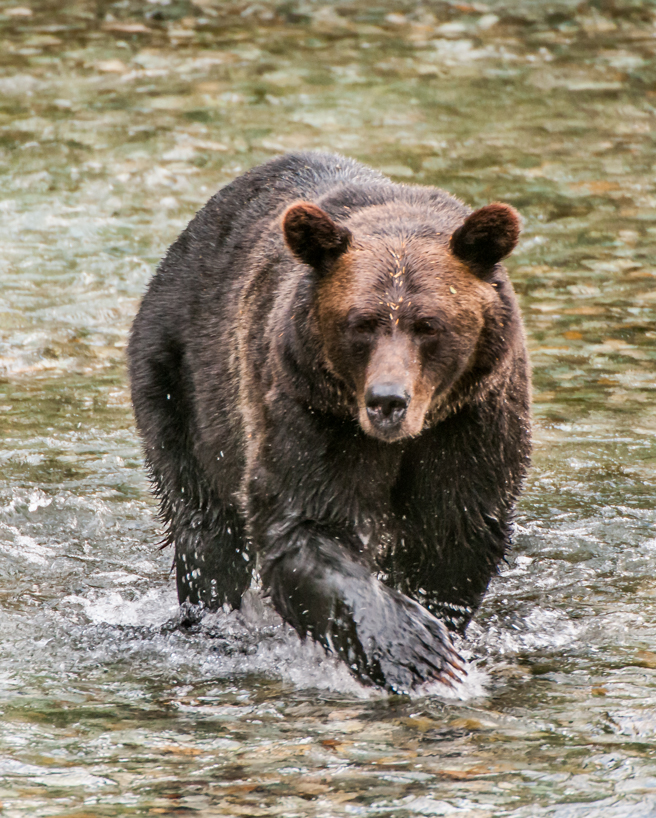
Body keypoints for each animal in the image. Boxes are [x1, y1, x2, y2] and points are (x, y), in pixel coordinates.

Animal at [128, 152, 531, 693]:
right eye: (360, 323)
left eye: (429, 324)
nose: (387, 401)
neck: (399, 440)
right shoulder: (312, 412)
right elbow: (303, 523)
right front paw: (415, 650)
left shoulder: (471, 421)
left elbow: (451, 533)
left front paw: (437, 634)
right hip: (180, 381)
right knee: (205, 530)